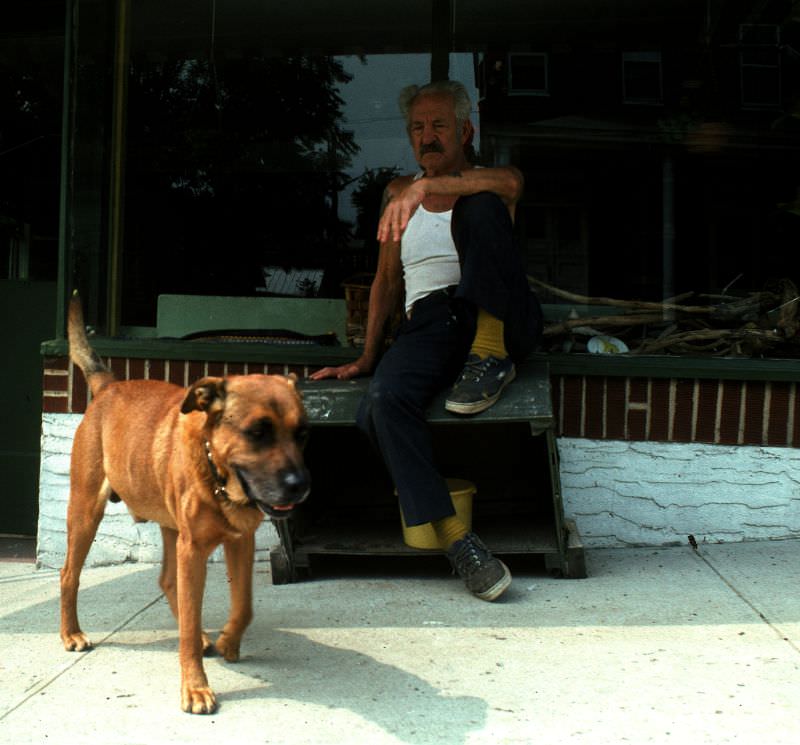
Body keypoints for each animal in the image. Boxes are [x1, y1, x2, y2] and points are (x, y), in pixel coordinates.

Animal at [58, 292, 310, 716]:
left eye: (302, 433)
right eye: (257, 432)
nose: (301, 486)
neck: (216, 470)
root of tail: (109, 385)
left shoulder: (239, 543)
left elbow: (244, 606)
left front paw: (227, 640)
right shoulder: (193, 550)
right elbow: (190, 628)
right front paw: (195, 688)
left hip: (169, 527)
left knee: (166, 581)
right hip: (86, 513)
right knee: (68, 575)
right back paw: (71, 633)